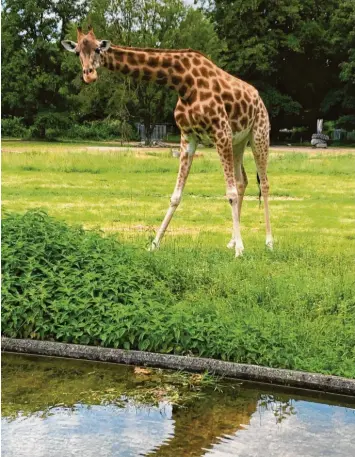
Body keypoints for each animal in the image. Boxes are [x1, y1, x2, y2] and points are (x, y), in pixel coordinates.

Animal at [62, 26, 274, 256]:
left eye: (98, 49)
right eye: (77, 52)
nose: (89, 75)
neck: (182, 82)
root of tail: (259, 98)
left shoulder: (221, 131)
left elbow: (231, 193)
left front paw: (240, 251)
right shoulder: (188, 135)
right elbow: (176, 195)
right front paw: (154, 243)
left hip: (259, 134)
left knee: (264, 184)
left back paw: (268, 242)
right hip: (238, 141)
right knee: (242, 180)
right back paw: (231, 241)